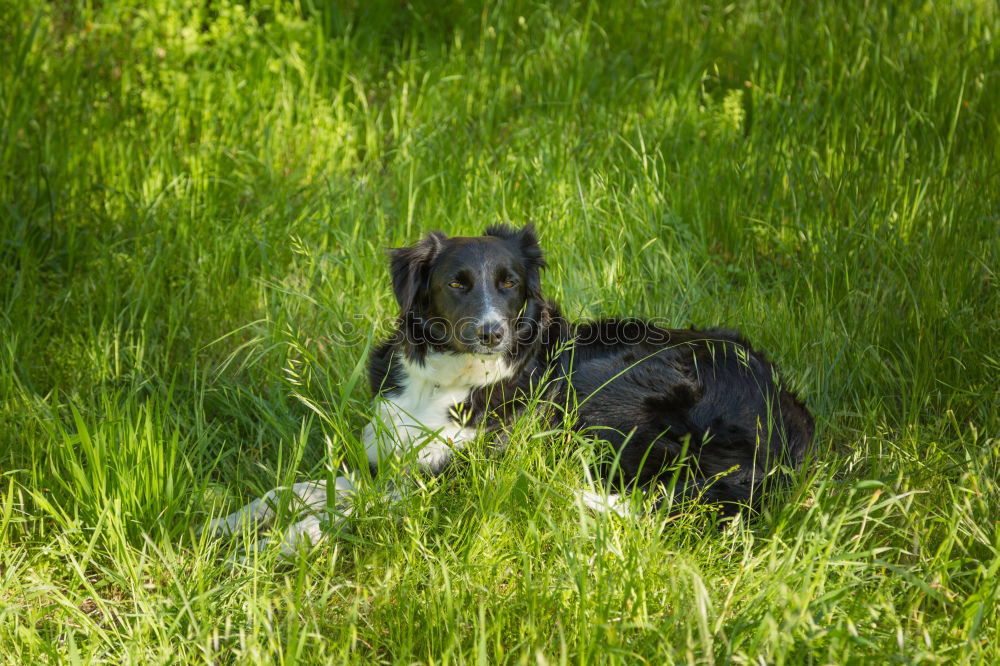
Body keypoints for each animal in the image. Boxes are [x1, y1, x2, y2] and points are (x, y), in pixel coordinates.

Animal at [203, 223, 812, 556]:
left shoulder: (458, 477)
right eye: (457, 283)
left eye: (510, 284)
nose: (492, 332)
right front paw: (229, 523)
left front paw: (285, 542)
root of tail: (783, 411)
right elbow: (298, 488)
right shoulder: (390, 458)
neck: (449, 380)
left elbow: (349, 507)